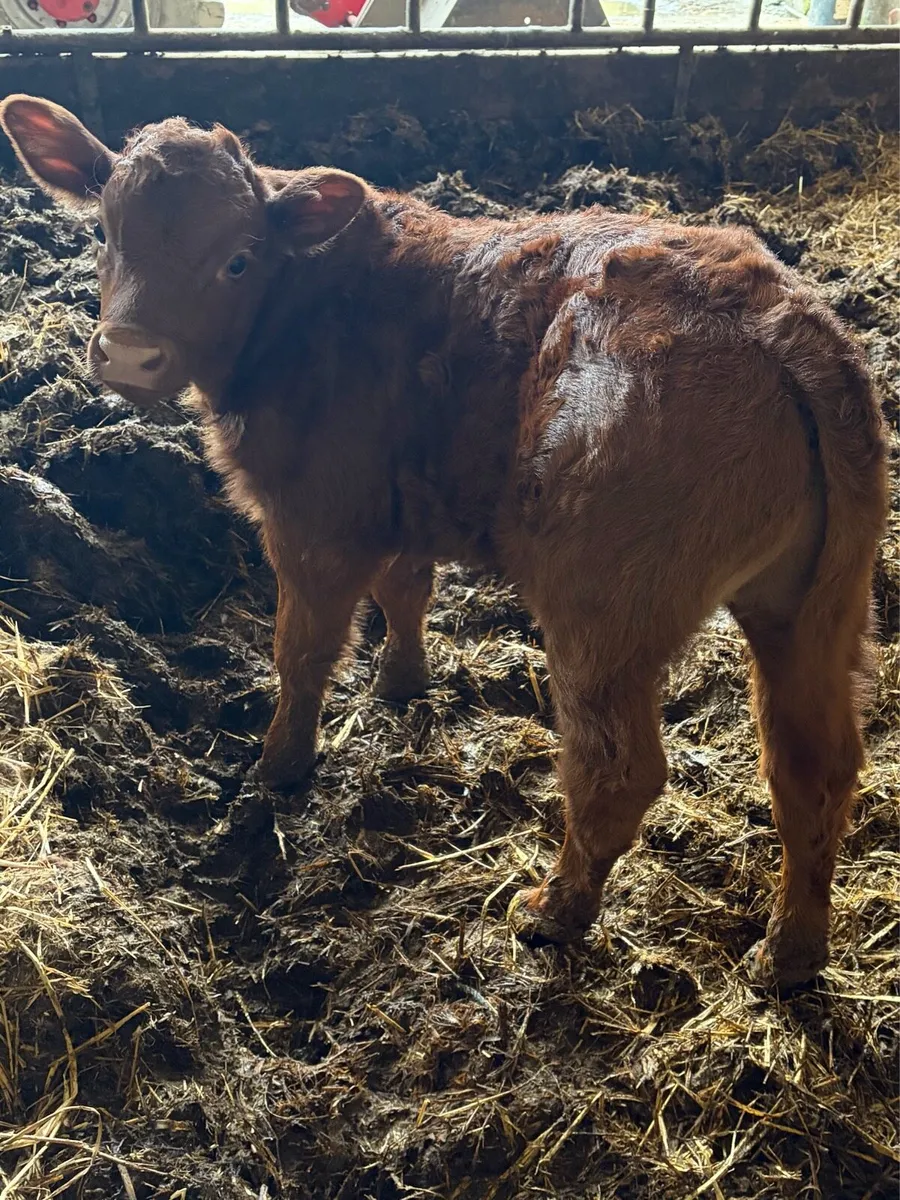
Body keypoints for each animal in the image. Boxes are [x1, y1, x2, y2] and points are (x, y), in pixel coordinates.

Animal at [0, 95, 886, 988]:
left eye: (238, 261)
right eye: (104, 231)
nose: (130, 355)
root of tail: (771, 312)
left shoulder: (314, 521)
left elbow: (302, 653)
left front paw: (278, 766)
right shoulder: (399, 502)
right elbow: (404, 590)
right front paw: (402, 682)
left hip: (605, 613)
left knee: (619, 769)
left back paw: (555, 910)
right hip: (817, 609)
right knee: (815, 767)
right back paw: (791, 950)